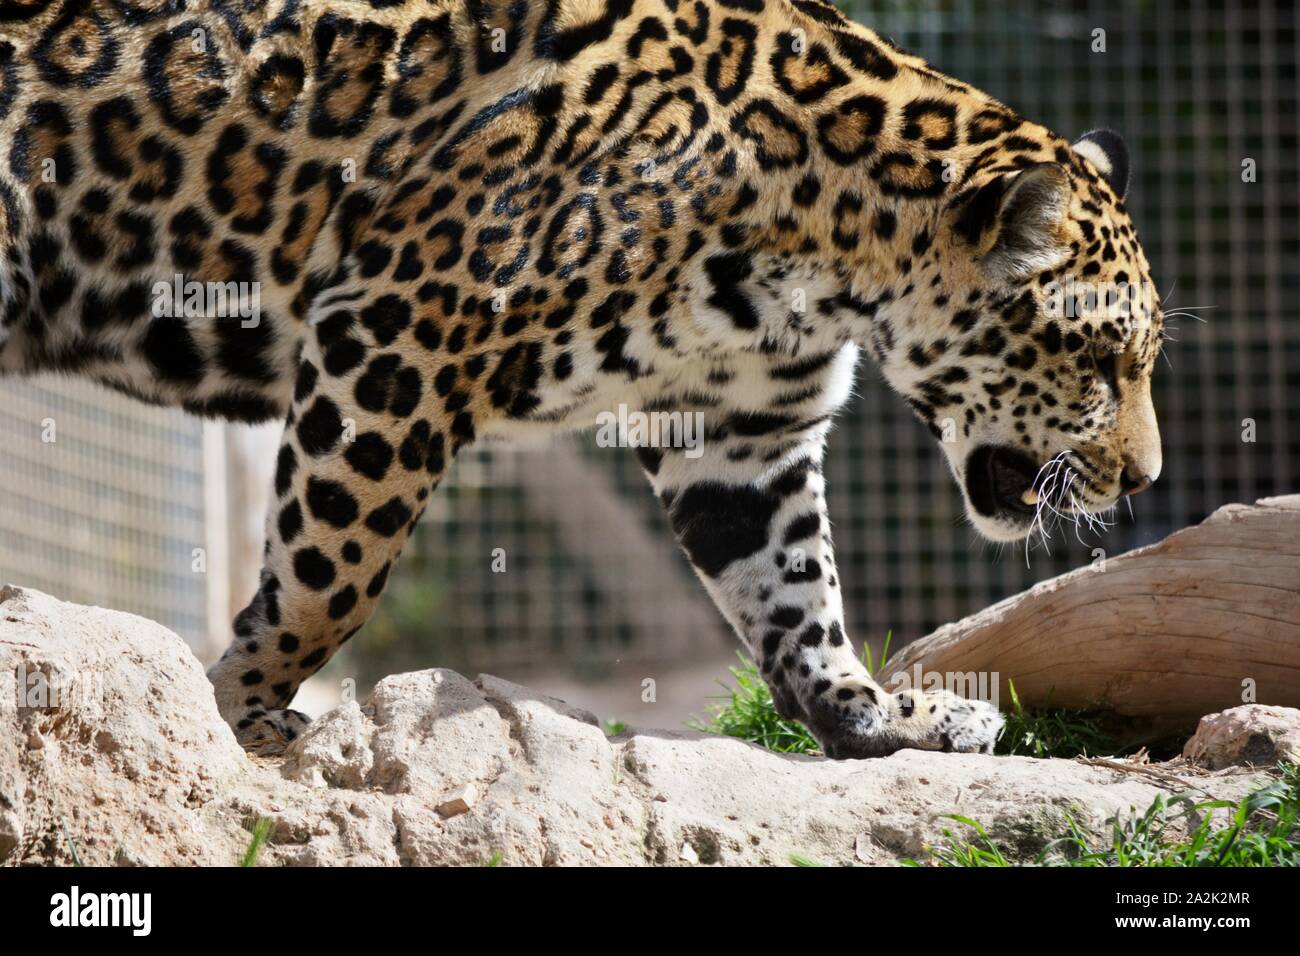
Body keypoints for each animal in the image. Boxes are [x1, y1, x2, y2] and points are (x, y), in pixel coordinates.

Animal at [0, 0, 1163, 760]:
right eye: (1100, 359)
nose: (1145, 479)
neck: (825, 245)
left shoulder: (744, 427)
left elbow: (795, 588)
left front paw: (877, 713)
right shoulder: (396, 335)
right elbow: (333, 576)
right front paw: (237, 709)